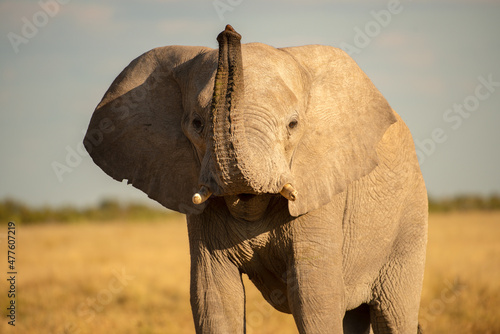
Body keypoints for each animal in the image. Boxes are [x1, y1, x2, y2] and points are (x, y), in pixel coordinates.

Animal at [85, 24, 426, 332]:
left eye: (293, 124)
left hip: (409, 221)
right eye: (196, 124)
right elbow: (213, 297)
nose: (228, 32)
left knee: (393, 314)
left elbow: (315, 297)